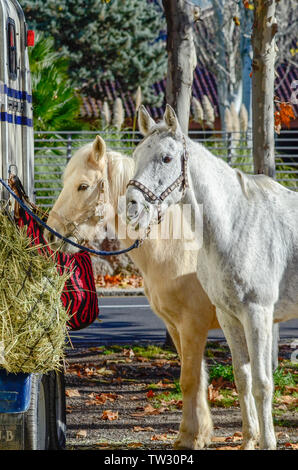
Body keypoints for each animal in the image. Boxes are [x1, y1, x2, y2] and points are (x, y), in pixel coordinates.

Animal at [44, 135, 221, 448]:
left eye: (83, 186)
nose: (50, 235)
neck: (178, 247)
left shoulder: (193, 325)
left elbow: (190, 379)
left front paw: (190, 438)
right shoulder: (176, 326)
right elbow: (196, 378)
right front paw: (195, 434)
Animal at [126, 104, 298, 450]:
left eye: (167, 158)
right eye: (136, 155)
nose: (132, 207)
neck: (235, 224)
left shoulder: (257, 314)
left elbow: (262, 383)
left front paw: (268, 442)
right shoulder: (229, 316)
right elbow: (242, 378)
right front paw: (248, 441)